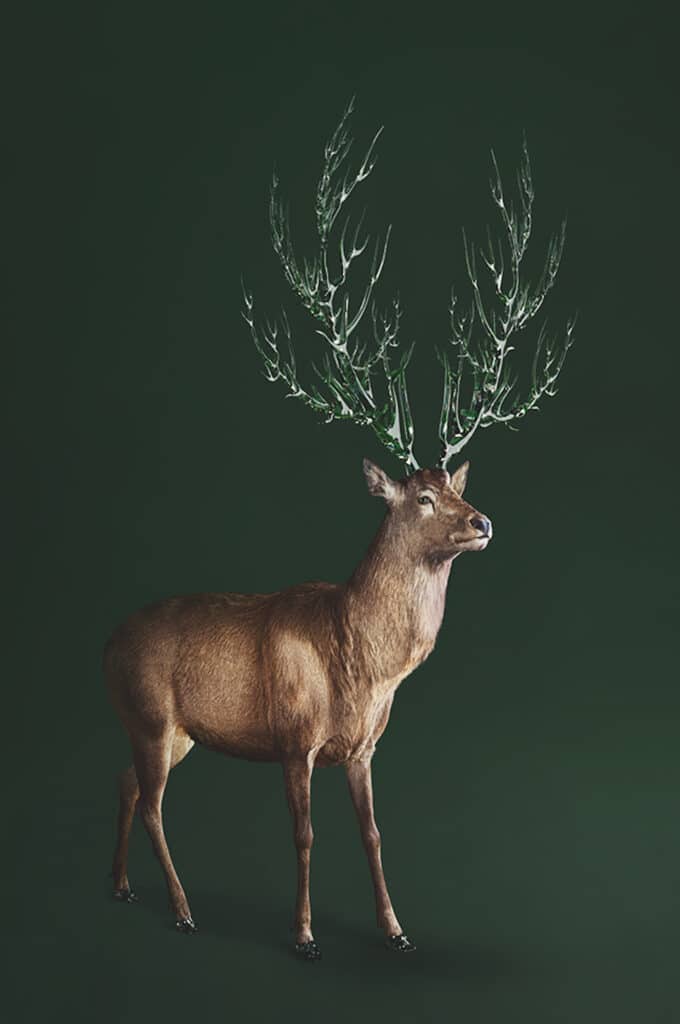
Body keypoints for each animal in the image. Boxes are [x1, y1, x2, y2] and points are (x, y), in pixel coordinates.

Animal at [106, 97, 573, 958]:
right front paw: (303, 933)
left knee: (125, 783)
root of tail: (103, 645)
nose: (483, 520)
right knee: (152, 802)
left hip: (173, 731)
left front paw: (396, 930)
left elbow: (374, 835)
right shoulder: (294, 737)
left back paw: (122, 886)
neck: (361, 663)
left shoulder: (363, 749)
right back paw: (181, 909)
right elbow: (305, 836)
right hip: (151, 714)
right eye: (418, 499)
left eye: (450, 486)